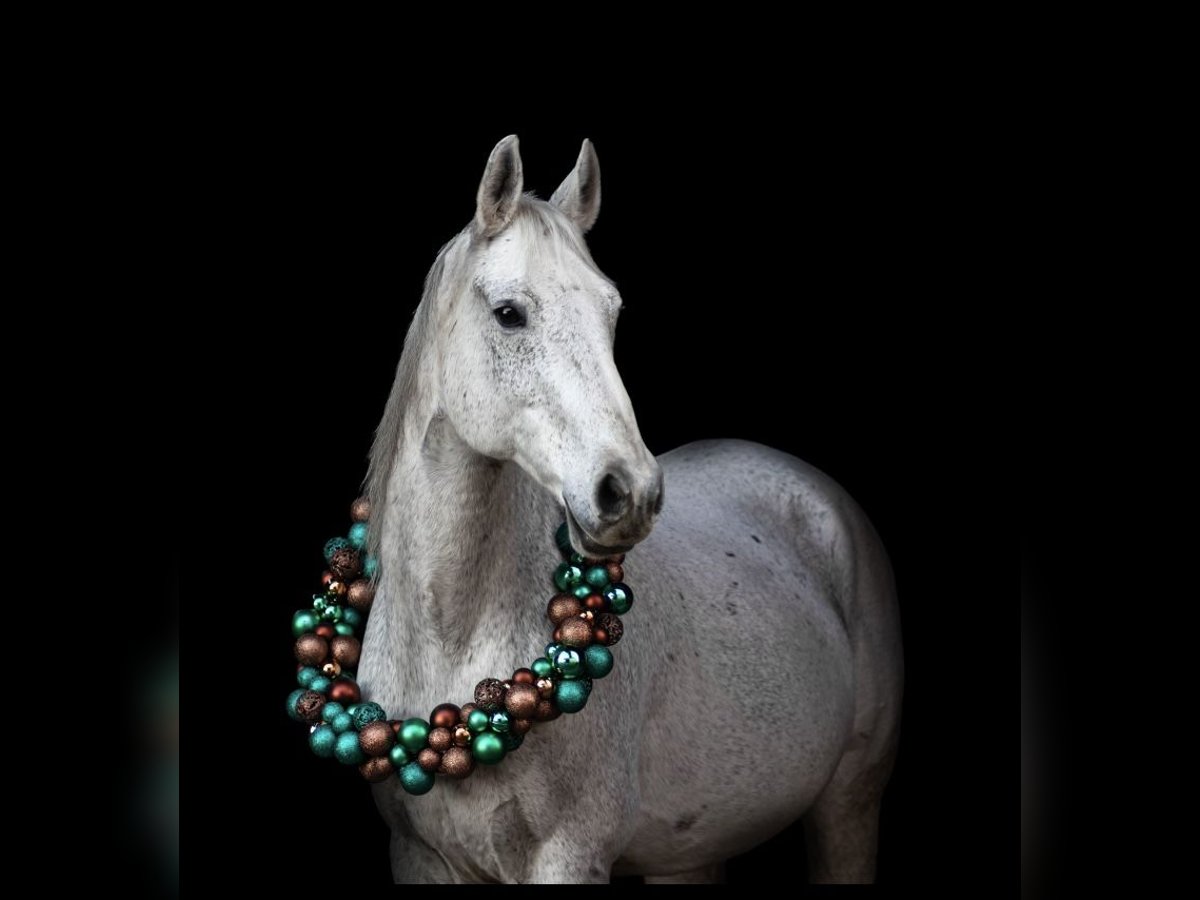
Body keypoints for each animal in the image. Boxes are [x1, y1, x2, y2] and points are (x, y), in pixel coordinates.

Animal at [355, 137, 902, 883]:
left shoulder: (568, 857)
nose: (630, 491)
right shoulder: (418, 857)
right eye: (508, 313)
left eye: (610, 311)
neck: (452, 642)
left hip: (848, 803)